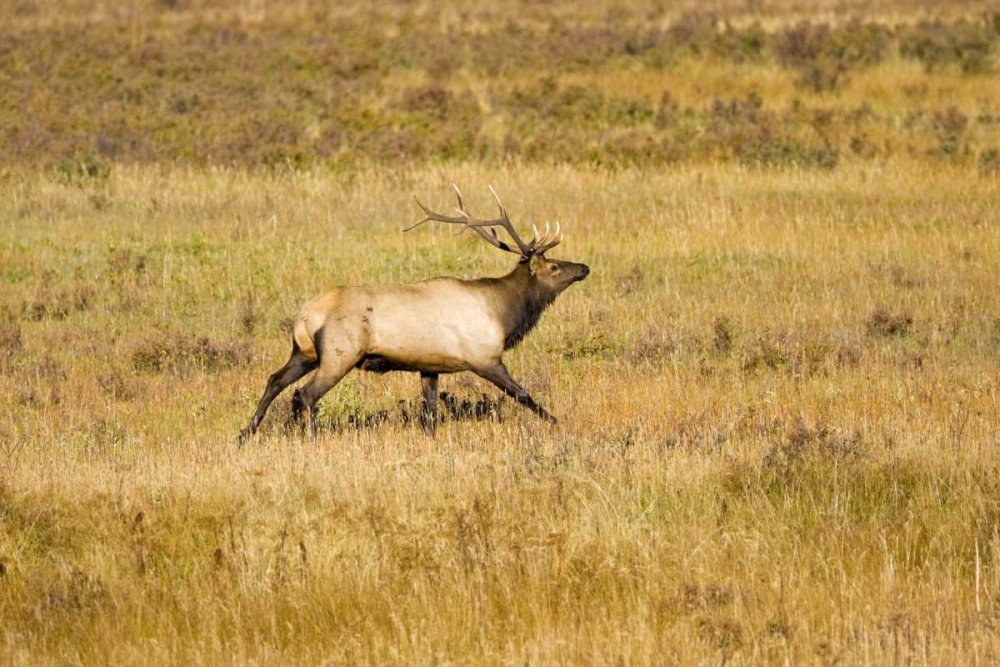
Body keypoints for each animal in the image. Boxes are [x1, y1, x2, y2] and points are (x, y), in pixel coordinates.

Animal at [238, 184, 590, 446]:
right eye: (554, 266)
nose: (584, 267)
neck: (505, 314)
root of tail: (307, 315)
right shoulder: (485, 358)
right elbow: (524, 395)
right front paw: (556, 422)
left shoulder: (430, 366)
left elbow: (430, 412)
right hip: (341, 353)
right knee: (305, 394)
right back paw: (309, 437)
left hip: (305, 351)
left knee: (275, 380)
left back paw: (248, 433)